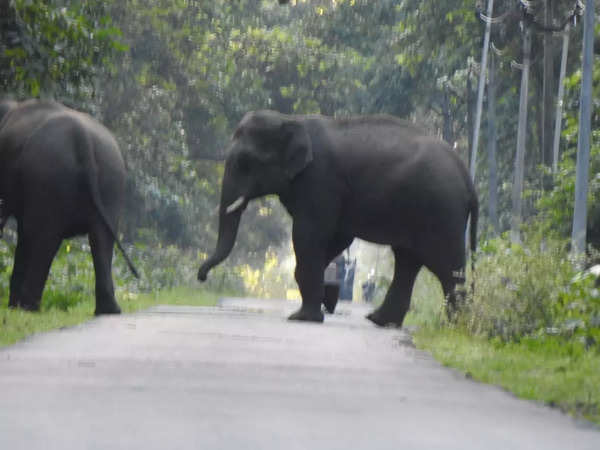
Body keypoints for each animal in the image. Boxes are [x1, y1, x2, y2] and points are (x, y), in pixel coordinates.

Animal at [0, 99, 137, 312]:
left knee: (42, 237)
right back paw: (109, 311)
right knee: (101, 238)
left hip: (49, 177)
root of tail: (82, 137)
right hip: (111, 179)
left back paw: (28, 308)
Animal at [197, 110, 478, 326]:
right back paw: (380, 321)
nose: (201, 277)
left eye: (245, 162)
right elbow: (337, 238)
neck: (291, 119)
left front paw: (302, 318)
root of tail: (466, 176)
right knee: (408, 262)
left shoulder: (320, 180)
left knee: (447, 268)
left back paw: (457, 327)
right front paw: (321, 298)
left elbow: (309, 235)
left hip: (442, 213)